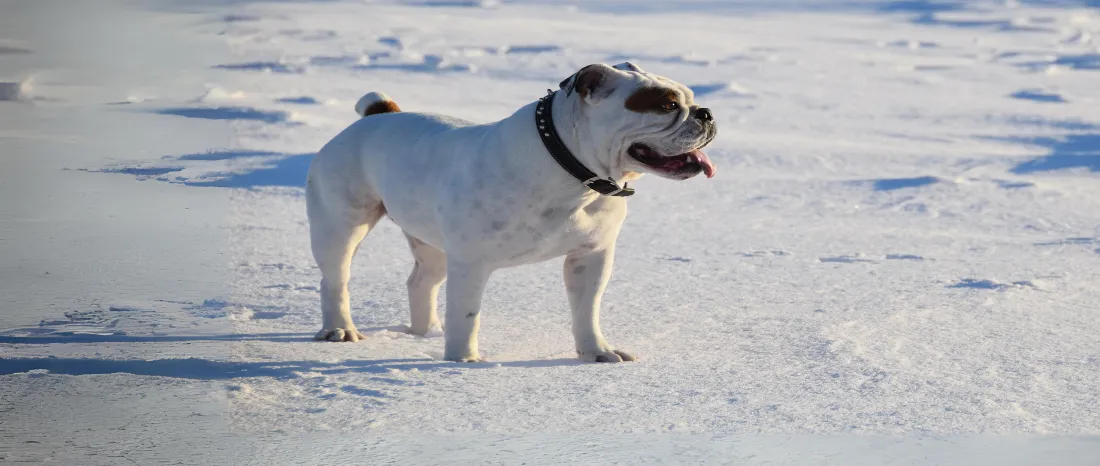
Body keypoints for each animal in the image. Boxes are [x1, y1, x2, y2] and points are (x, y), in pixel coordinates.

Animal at [303, 61, 712, 362]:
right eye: (666, 105)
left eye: (690, 100)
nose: (706, 113)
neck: (570, 171)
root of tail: (376, 115)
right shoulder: (471, 263)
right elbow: (467, 313)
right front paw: (462, 362)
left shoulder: (591, 256)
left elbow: (587, 310)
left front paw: (596, 353)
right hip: (341, 226)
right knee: (335, 278)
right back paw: (340, 329)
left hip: (430, 243)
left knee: (421, 281)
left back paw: (426, 332)